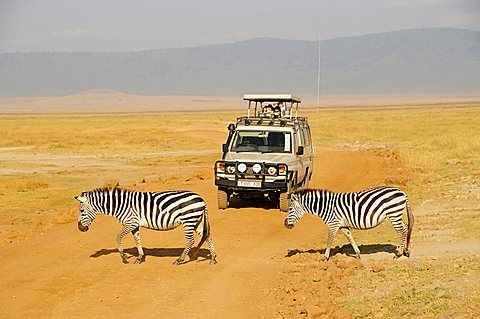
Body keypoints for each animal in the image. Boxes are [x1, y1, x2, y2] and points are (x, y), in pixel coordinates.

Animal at [75, 189, 218, 266]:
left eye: (81, 211)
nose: (80, 228)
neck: (120, 205)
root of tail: (201, 199)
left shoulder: (130, 222)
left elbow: (118, 237)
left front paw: (124, 257)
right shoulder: (134, 225)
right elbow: (137, 240)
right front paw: (139, 258)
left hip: (188, 220)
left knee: (190, 241)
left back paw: (179, 260)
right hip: (196, 221)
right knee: (207, 236)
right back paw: (213, 258)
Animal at [284, 188, 414, 260]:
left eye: (290, 209)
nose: (285, 225)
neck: (325, 207)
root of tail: (402, 192)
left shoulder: (333, 224)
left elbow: (329, 241)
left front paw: (325, 258)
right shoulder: (342, 225)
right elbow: (349, 237)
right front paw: (357, 254)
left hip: (393, 214)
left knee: (402, 231)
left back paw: (399, 254)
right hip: (396, 214)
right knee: (406, 228)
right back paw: (405, 251)